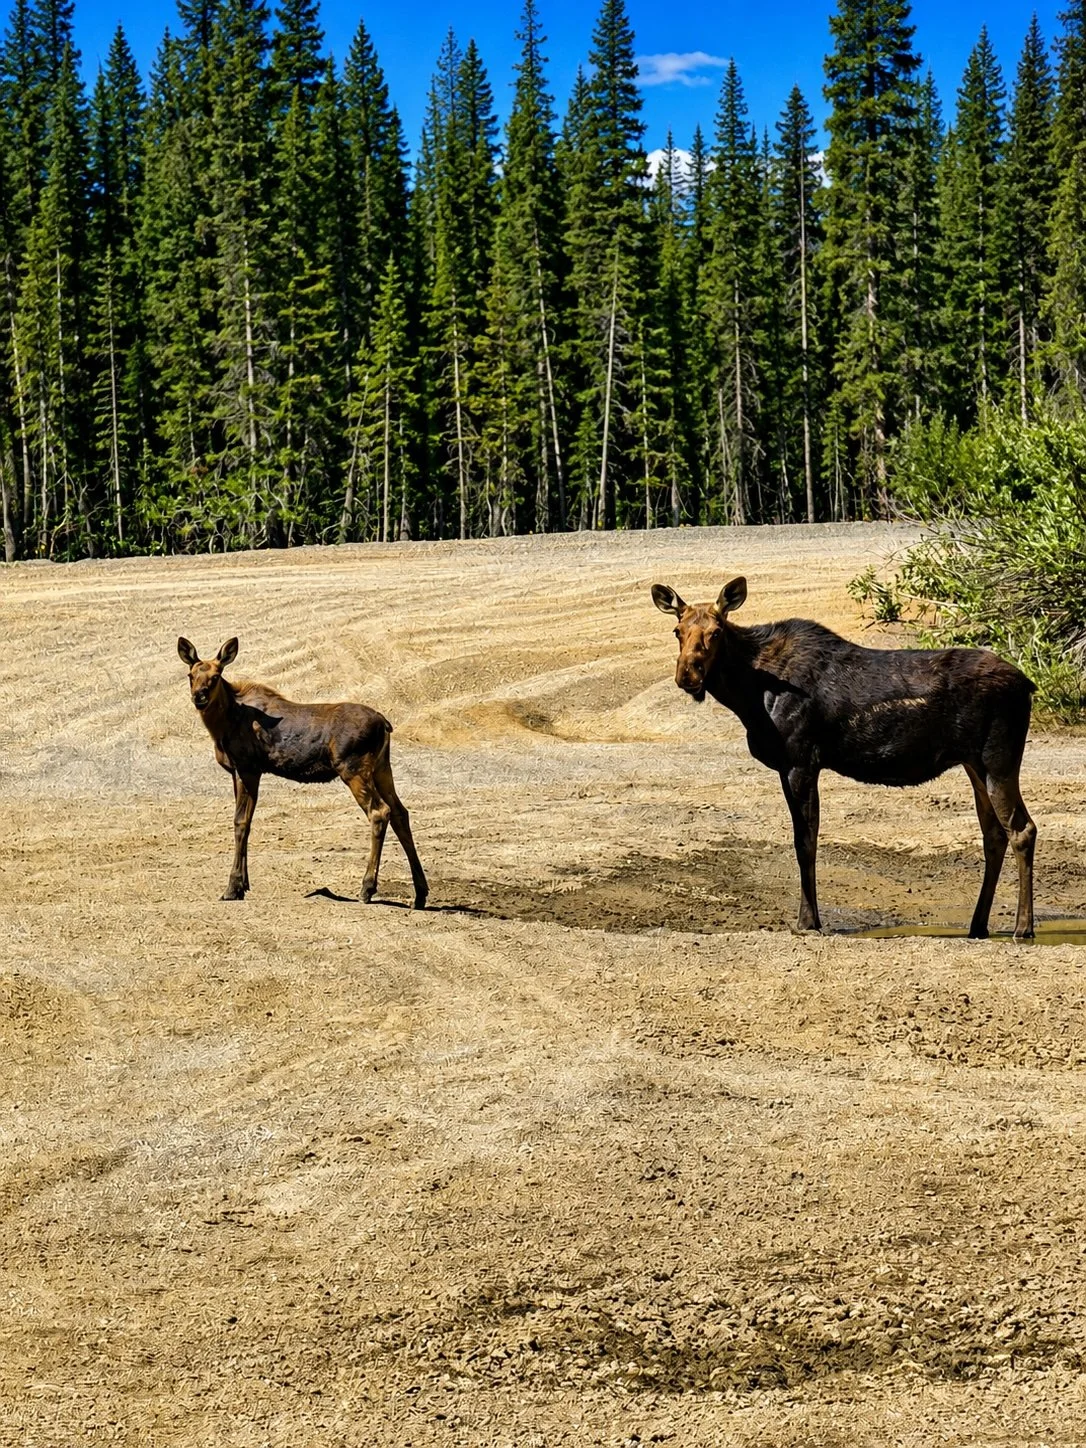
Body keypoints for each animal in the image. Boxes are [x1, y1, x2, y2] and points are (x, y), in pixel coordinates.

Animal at [177, 637, 428, 909]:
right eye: (191, 675)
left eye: (216, 675)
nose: (199, 697)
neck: (223, 725)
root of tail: (385, 724)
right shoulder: (239, 771)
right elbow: (248, 822)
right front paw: (244, 883)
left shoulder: (248, 767)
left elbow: (240, 822)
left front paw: (233, 888)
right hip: (382, 768)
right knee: (401, 812)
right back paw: (420, 893)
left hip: (353, 768)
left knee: (380, 811)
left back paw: (367, 888)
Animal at [651, 577, 1037, 939]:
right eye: (677, 631)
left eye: (716, 632)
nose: (687, 674)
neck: (749, 695)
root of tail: (1028, 685)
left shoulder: (800, 760)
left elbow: (805, 842)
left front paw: (808, 921)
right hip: (974, 764)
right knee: (994, 833)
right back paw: (978, 925)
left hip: (998, 759)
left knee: (1022, 829)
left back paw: (1022, 928)